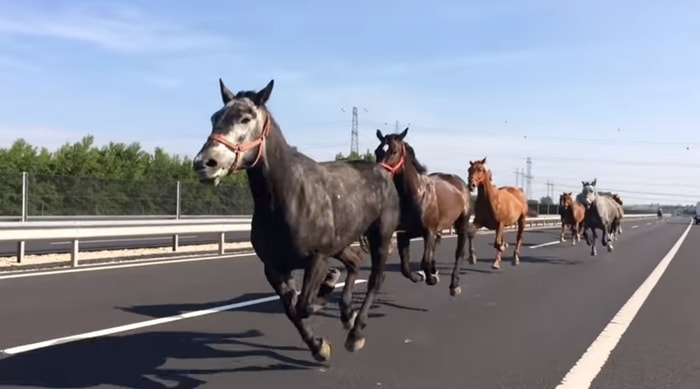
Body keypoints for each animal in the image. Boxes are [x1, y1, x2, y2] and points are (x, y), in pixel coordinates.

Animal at [193, 78, 400, 360]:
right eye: (214, 117)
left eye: (245, 118)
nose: (204, 163)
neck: (288, 197)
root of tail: (383, 171)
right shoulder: (275, 267)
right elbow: (292, 310)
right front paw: (319, 346)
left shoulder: (317, 257)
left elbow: (303, 305)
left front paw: (325, 294)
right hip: (342, 241)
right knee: (355, 261)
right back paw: (346, 312)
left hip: (381, 235)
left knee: (375, 279)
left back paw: (355, 331)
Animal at [372, 126, 476, 296]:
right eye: (377, 151)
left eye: (394, 150)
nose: (379, 174)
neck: (416, 195)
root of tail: (459, 182)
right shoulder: (404, 233)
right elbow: (405, 267)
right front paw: (420, 276)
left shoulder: (428, 231)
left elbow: (424, 260)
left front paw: (431, 278)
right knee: (436, 245)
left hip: (462, 223)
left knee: (459, 252)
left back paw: (454, 284)